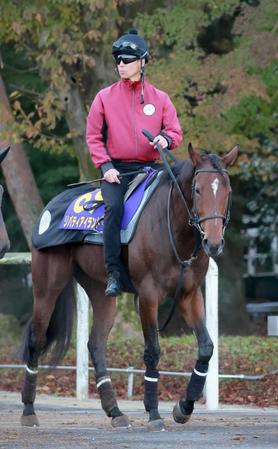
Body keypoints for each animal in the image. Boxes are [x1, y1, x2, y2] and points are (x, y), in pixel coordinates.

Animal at [21, 142, 239, 428]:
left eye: (227, 191)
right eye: (198, 189)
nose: (213, 243)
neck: (171, 226)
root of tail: (51, 206)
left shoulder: (189, 295)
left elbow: (206, 347)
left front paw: (184, 406)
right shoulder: (148, 295)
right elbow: (153, 350)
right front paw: (154, 412)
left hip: (102, 292)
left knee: (96, 345)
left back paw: (115, 411)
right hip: (47, 287)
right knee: (36, 339)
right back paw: (28, 410)